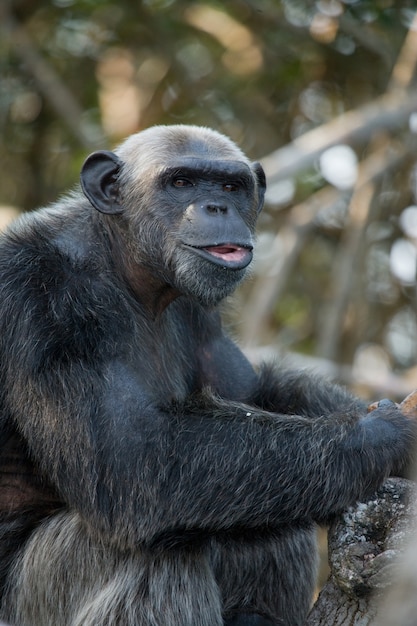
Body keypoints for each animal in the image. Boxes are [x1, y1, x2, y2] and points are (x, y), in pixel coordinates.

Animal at [0, 123, 412, 624]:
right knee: (157, 553)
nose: (217, 207)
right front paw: (380, 433)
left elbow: (253, 391)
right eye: (180, 182)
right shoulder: (48, 301)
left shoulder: (203, 314)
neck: (126, 263)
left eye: (230, 186)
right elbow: (127, 457)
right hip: (32, 600)